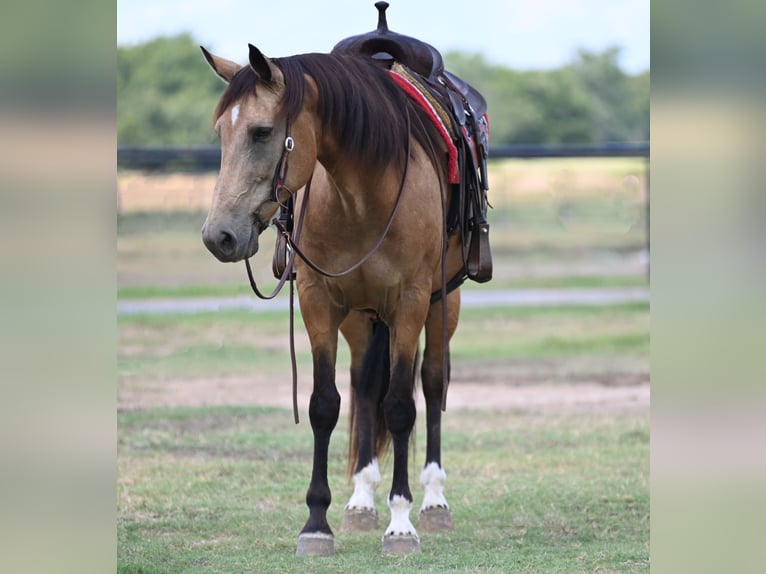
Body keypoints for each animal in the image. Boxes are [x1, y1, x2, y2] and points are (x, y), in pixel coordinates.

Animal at [200, 43, 468, 556]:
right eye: (221, 131)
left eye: (262, 131)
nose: (219, 236)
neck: (363, 195)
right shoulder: (319, 302)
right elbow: (326, 404)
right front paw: (316, 524)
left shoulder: (410, 303)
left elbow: (400, 406)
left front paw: (400, 524)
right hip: (360, 319)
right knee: (364, 386)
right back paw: (361, 500)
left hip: (443, 307)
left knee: (431, 382)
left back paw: (434, 500)